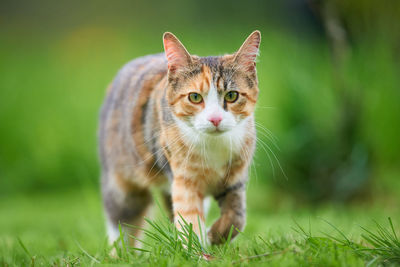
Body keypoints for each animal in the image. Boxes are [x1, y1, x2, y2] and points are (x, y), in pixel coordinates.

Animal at [98, 30, 260, 246]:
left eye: (232, 95)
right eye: (195, 97)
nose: (215, 118)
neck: (213, 145)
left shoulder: (235, 178)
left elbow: (236, 218)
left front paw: (213, 235)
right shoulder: (183, 177)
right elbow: (189, 217)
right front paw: (198, 248)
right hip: (122, 186)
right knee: (123, 223)